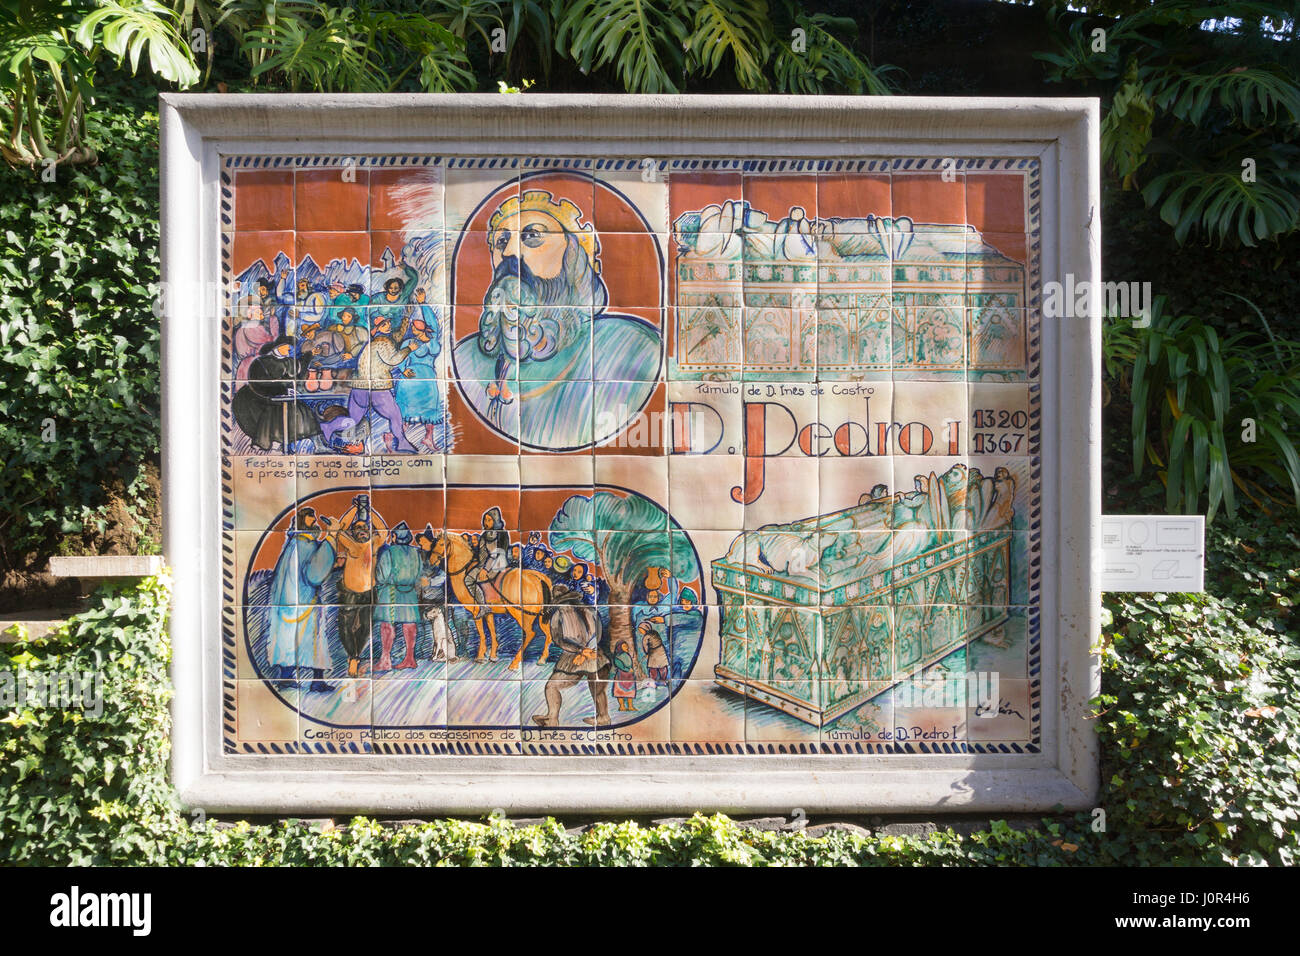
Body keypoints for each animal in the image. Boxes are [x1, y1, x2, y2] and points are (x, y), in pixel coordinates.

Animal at [434, 530, 556, 671]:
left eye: (441, 544)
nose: (432, 560)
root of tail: (538, 577)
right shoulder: (489, 612)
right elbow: (492, 632)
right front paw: (493, 656)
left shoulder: (476, 612)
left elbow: (482, 634)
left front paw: (480, 657)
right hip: (541, 616)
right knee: (548, 634)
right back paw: (541, 659)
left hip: (520, 613)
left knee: (530, 633)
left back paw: (514, 663)